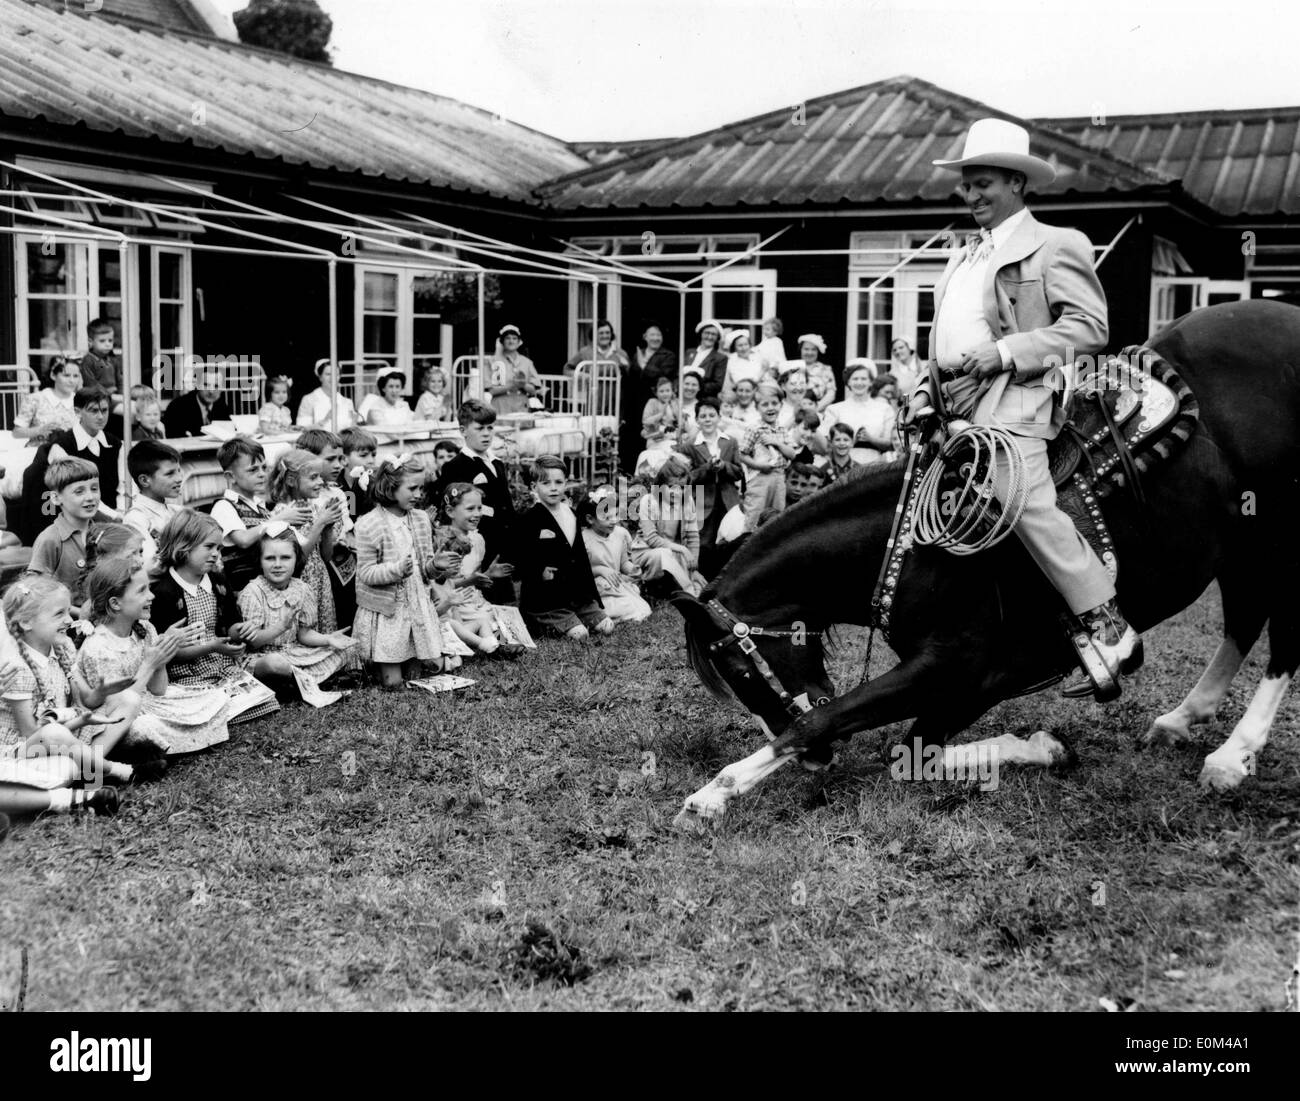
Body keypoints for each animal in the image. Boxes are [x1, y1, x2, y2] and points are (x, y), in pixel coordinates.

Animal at [676, 297, 1294, 821]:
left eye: (739, 670)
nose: (816, 763)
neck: (913, 551)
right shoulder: (967, 683)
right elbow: (914, 752)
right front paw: (1047, 747)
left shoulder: (965, 670)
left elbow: (834, 721)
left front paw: (713, 793)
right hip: (1239, 551)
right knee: (1244, 618)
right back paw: (1183, 718)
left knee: (1283, 641)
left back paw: (1233, 754)